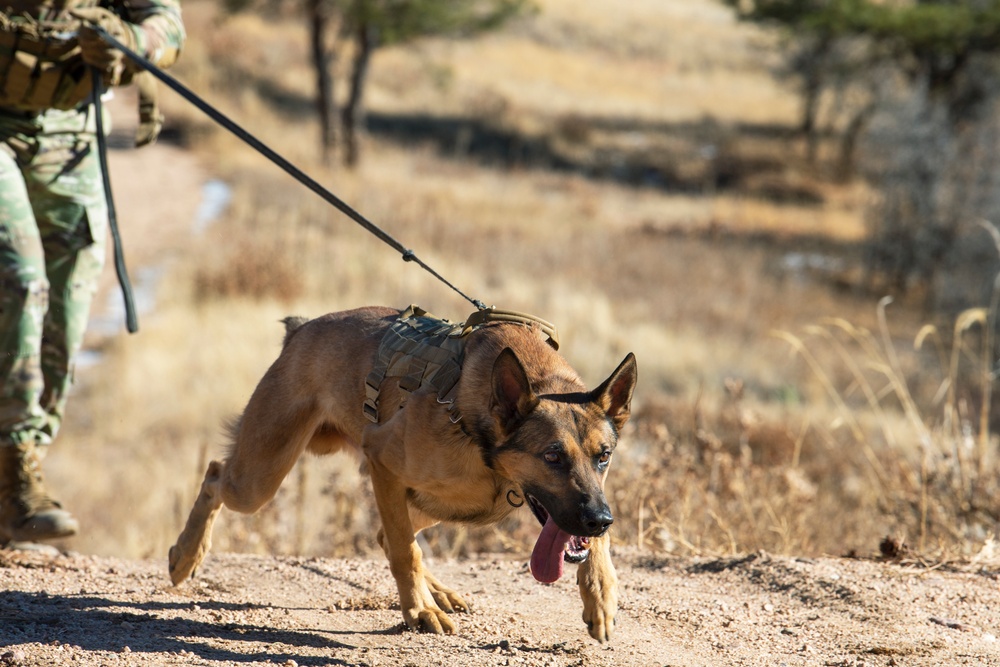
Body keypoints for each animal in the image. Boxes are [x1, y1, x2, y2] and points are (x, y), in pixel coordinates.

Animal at [168, 306, 636, 640]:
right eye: (552, 456)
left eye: (604, 456)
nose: (599, 521)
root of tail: (300, 331)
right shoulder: (383, 462)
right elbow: (405, 552)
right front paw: (419, 610)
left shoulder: (586, 500)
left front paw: (600, 592)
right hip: (260, 480)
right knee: (215, 474)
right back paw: (186, 554)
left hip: (446, 503)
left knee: (387, 532)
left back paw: (441, 592)